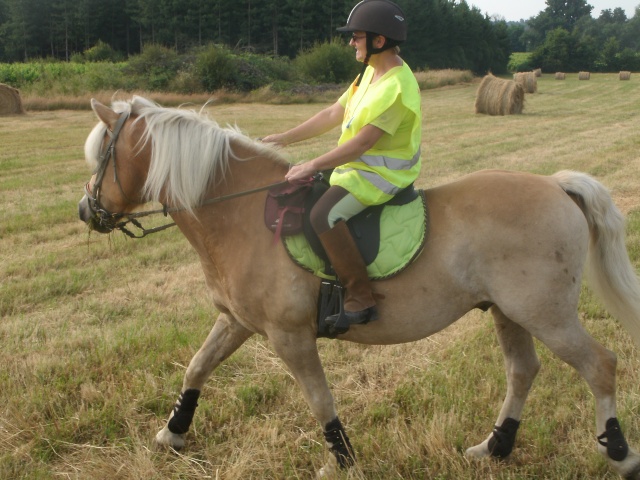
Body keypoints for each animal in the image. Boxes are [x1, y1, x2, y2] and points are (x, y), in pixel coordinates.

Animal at [77, 95, 640, 478]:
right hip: (509, 312)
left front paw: (341, 460)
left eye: (101, 154)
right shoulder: (235, 321)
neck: (241, 215)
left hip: (546, 313)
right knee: (523, 371)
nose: (86, 209)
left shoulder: (290, 337)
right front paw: (171, 434)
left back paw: (618, 453)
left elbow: (319, 399)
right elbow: (197, 367)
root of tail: (556, 185)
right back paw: (493, 448)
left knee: (600, 365)